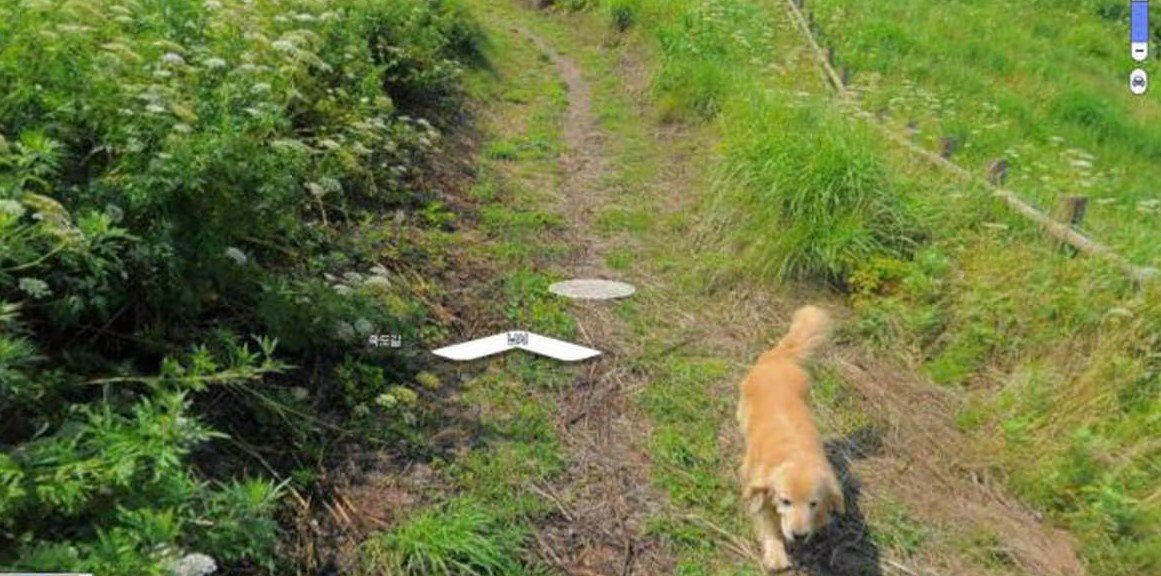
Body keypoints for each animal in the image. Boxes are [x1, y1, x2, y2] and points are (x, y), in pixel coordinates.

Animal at [733, 306, 845, 571]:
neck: (795, 455)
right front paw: (776, 554)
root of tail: (781, 358)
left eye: (813, 503)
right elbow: (766, 522)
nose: (799, 535)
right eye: (785, 501)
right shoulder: (758, 489)